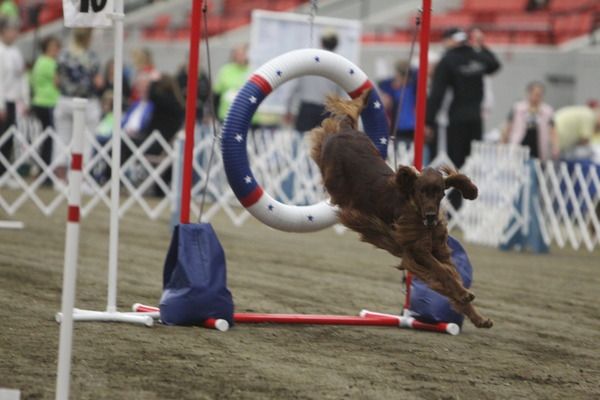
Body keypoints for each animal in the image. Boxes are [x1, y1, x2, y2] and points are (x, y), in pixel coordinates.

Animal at [310, 91, 493, 328]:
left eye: (440, 192)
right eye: (422, 191)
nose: (432, 216)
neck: (418, 213)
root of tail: (347, 132)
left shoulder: (438, 250)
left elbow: (450, 273)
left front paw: (478, 317)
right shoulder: (417, 250)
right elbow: (443, 272)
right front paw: (464, 294)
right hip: (332, 177)